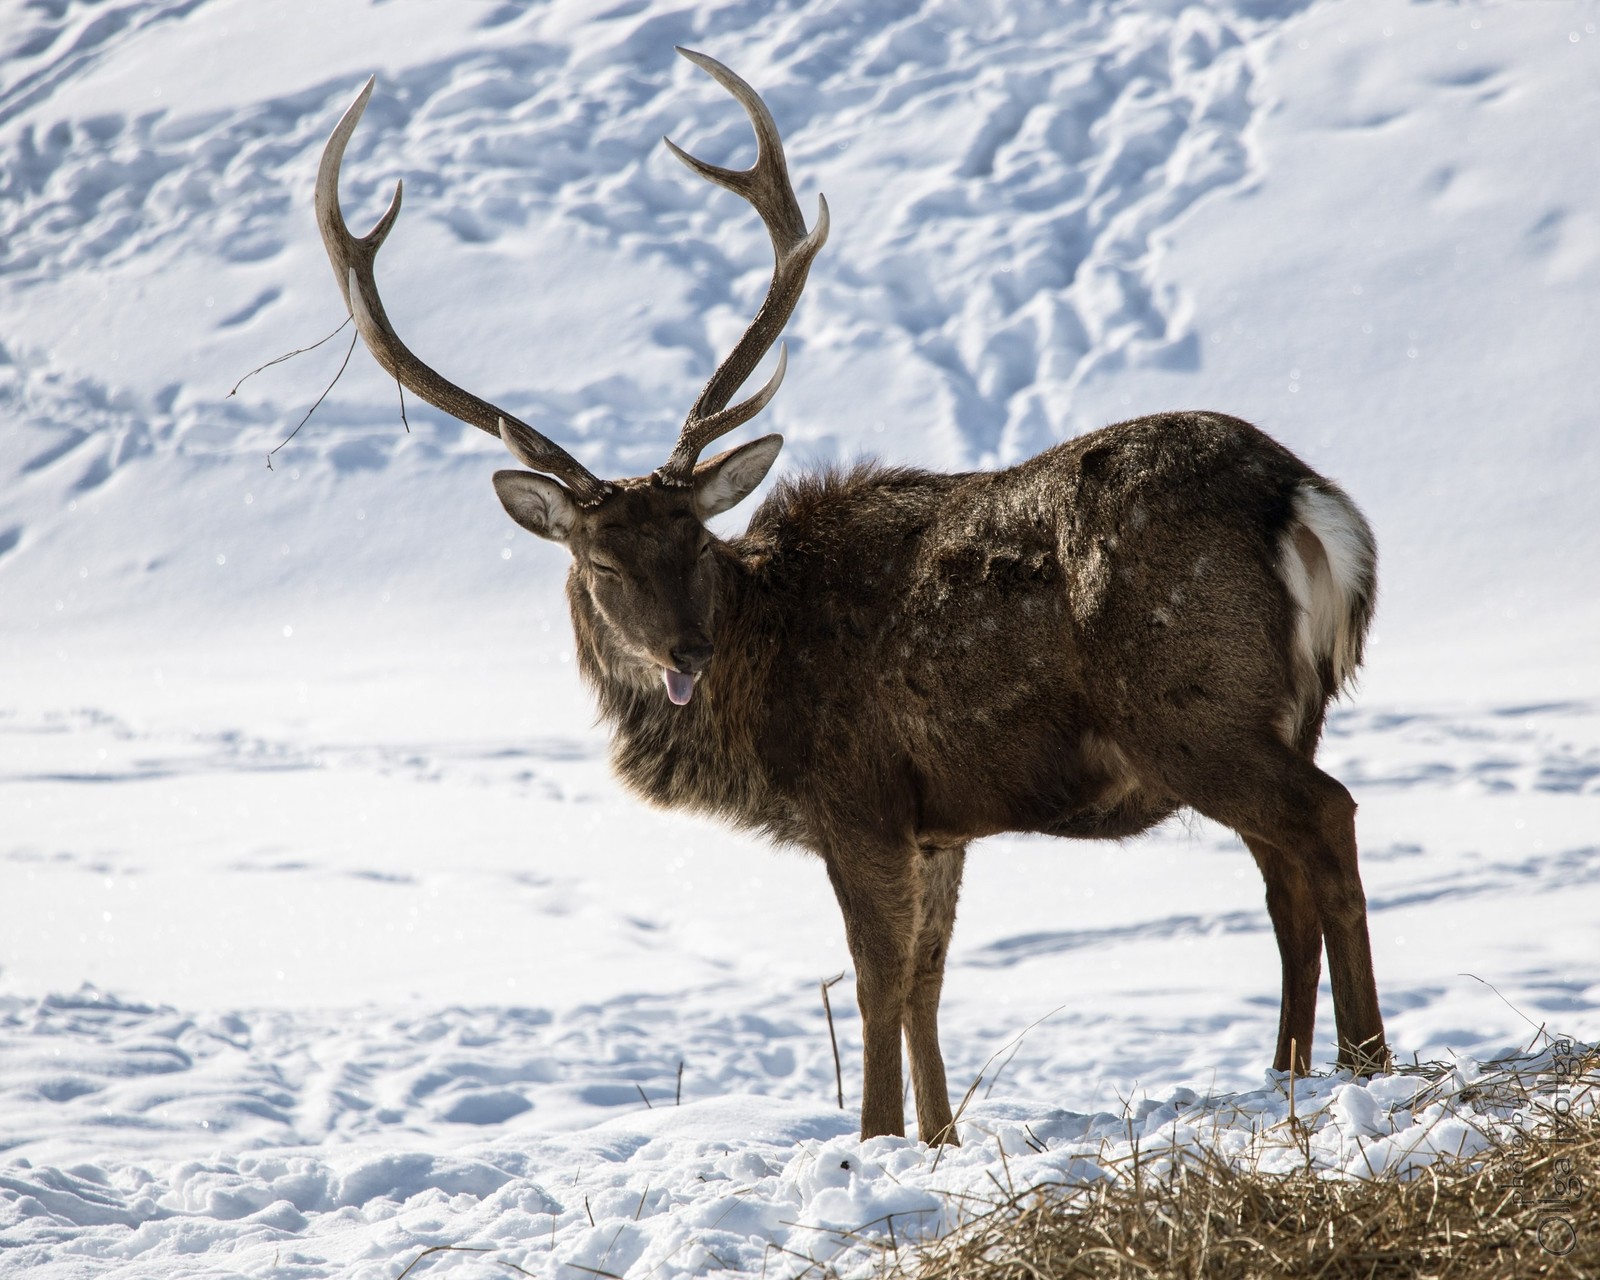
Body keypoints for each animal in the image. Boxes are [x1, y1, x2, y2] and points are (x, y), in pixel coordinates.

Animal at [312, 52, 1388, 1152]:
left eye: (691, 538)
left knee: (1328, 818)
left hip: (1190, 705)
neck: (755, 687)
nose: (686, 652)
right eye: (599, 561)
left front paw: (870, 1139)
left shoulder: (856, 793)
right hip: (1279, 710)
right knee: (1283, 878)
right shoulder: (939, 820)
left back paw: (1365, 1064)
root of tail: (1305, 501)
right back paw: (1290, 1072)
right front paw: (940, 1140)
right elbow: (926, 983)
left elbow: (876, 980)